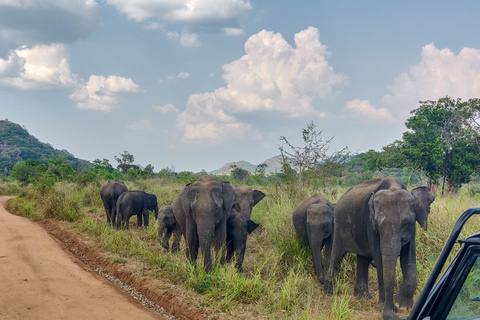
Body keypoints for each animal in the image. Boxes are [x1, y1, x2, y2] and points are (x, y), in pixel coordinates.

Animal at [326, 178, 436, 320]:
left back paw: (363, 297)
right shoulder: (370, 223)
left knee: (363, 259)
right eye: (377, 225)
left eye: (405, 223)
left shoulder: (412, 229)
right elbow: (380, 260)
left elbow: (409, 259)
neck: (393, 186)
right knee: (336, 256)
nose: (395, 311)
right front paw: (383, 308)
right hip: (339, 226)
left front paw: (402, 306)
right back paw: (329, 292)